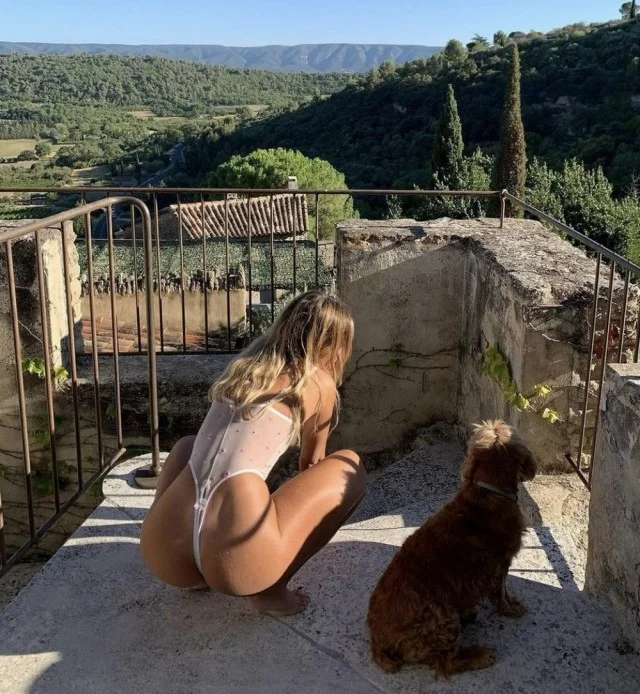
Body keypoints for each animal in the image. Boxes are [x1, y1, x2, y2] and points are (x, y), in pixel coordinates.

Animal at [367, 420, 537, 678]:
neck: (489, 491)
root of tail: (377, 639)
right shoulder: (500, 565)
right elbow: (501, 591)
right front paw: (510, 607)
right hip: (441, 616)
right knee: (447, 661)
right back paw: (477, 655)